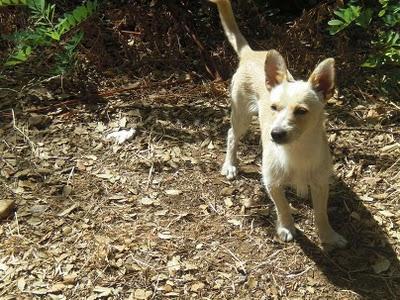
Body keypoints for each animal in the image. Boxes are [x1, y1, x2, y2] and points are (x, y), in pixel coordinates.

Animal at [212, 0, 346, 248]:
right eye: (273, 107)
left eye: (301, 111)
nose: (274, 134)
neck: (297, 150)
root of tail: (251, 53)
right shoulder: (272, 182)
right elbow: (282, 206)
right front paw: (286, 227)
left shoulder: (321, 183)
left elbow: (321, 212)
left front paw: (328, 235)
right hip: (241, 115)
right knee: (231, 135)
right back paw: (230, 164)